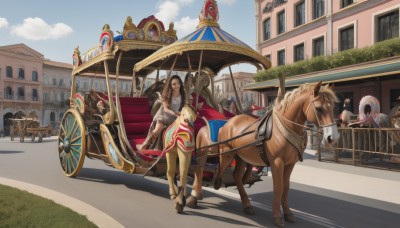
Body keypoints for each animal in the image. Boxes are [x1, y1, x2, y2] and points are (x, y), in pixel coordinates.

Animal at [214, 82, 340, 226]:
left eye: (333, 107)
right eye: (319, 109)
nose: (333, 137)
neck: (286, 128)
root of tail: (228, 123)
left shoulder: (290, 164)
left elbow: (286, 187)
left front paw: (288, 212)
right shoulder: (277, 162)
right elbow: (278, 186)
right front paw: (277, 215)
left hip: (241, 157)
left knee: (237, 177)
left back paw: (247, 205)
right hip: (227, 154)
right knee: (221, 169)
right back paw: (214, 184)